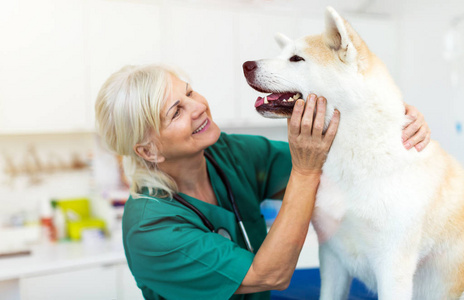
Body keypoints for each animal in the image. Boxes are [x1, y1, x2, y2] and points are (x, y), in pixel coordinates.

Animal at [243, 5, 464, 300]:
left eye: (296, 59)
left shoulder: (393, 266)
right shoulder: (332, 257)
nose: (246, 65)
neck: (355, 154)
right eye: (283, 55)